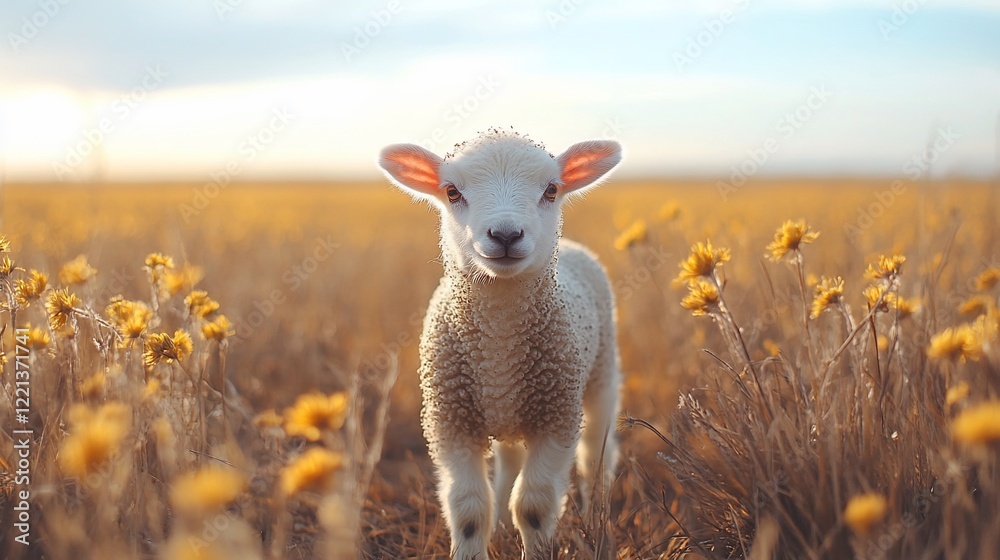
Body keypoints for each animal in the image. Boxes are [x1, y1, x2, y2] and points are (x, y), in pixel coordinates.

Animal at [378, 129, 623, 559]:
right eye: (452, 191)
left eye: (551, 189)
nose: (506, 235)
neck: (498, 340)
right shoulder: (450, 421)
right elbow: (469, 507)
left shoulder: (556, 417)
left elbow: (535, 506)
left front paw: (538, 549)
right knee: (510, 459)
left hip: (601, 375)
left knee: (597, 453)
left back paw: (597, 513)